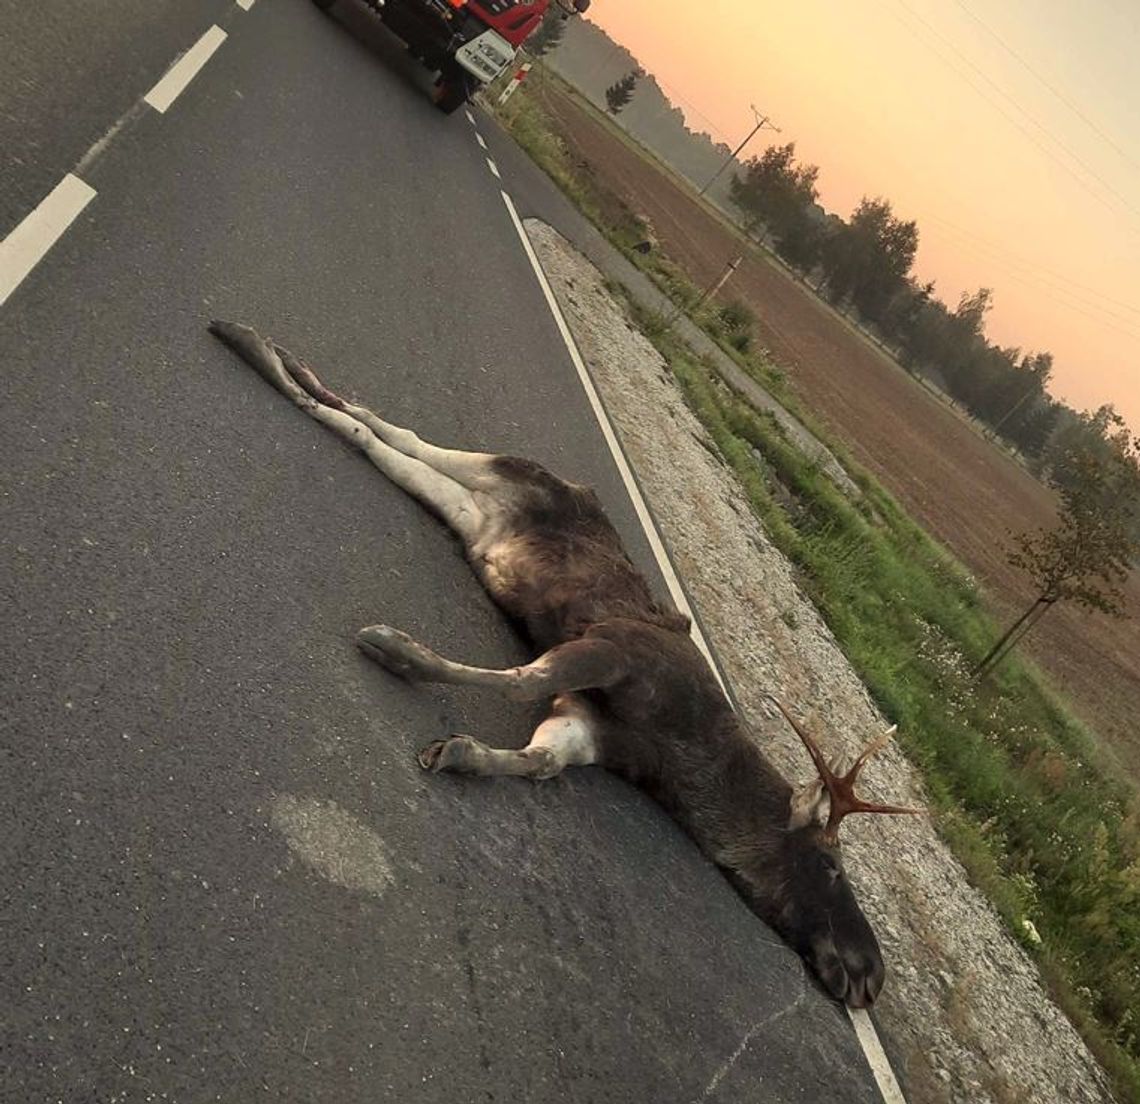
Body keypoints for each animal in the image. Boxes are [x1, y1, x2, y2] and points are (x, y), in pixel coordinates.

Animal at [209, 319, 921, 1008]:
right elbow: (520, 679)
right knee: (386, 427)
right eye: (830, 866)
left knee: (380, 436)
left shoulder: (590, 725)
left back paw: (267, 349)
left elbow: (539, 759)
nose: (870, 977)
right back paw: (251, 342)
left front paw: (460, 751)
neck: (686, 765)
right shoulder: (613, 650)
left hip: (470, 508)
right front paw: (397, 650)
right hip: (503, 469)